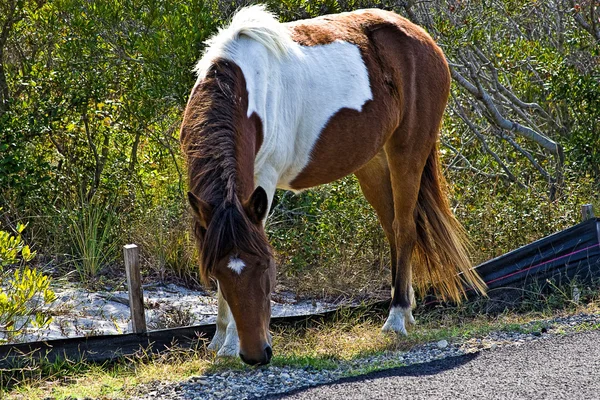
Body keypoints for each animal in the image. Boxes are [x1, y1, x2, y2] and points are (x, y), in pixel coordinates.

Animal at [180, 5, 486, 366]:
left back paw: (396, 318)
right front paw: (220, 340)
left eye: (265, 266)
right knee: (392, 228)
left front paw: (228, 343)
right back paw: (407, 311)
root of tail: (424, 40)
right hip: (372, 162)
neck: (243, 88)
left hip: (408, 151)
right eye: (216, 273)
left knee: (404, 229)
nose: (256, 354)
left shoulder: (263, 180)